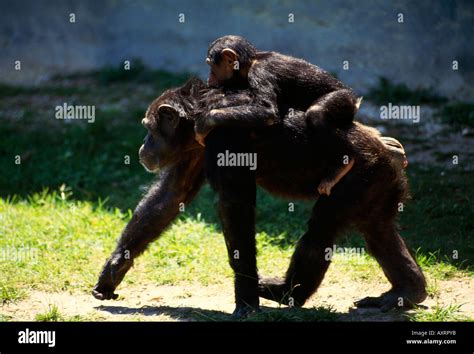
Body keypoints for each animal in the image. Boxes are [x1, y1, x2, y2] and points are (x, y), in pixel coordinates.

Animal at [91, 78, 426, 318]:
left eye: (149, 128)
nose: (142, 147)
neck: (197, 115)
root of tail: (392, 153)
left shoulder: (224, 137)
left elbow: (235, 205)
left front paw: (246, 300)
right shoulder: (194, 151)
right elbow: (170, 196)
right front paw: (113, 271)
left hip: (359, 178)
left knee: (321, 232)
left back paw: (285, 293)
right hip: (378, 186)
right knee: (379, 233)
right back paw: (407, 292)